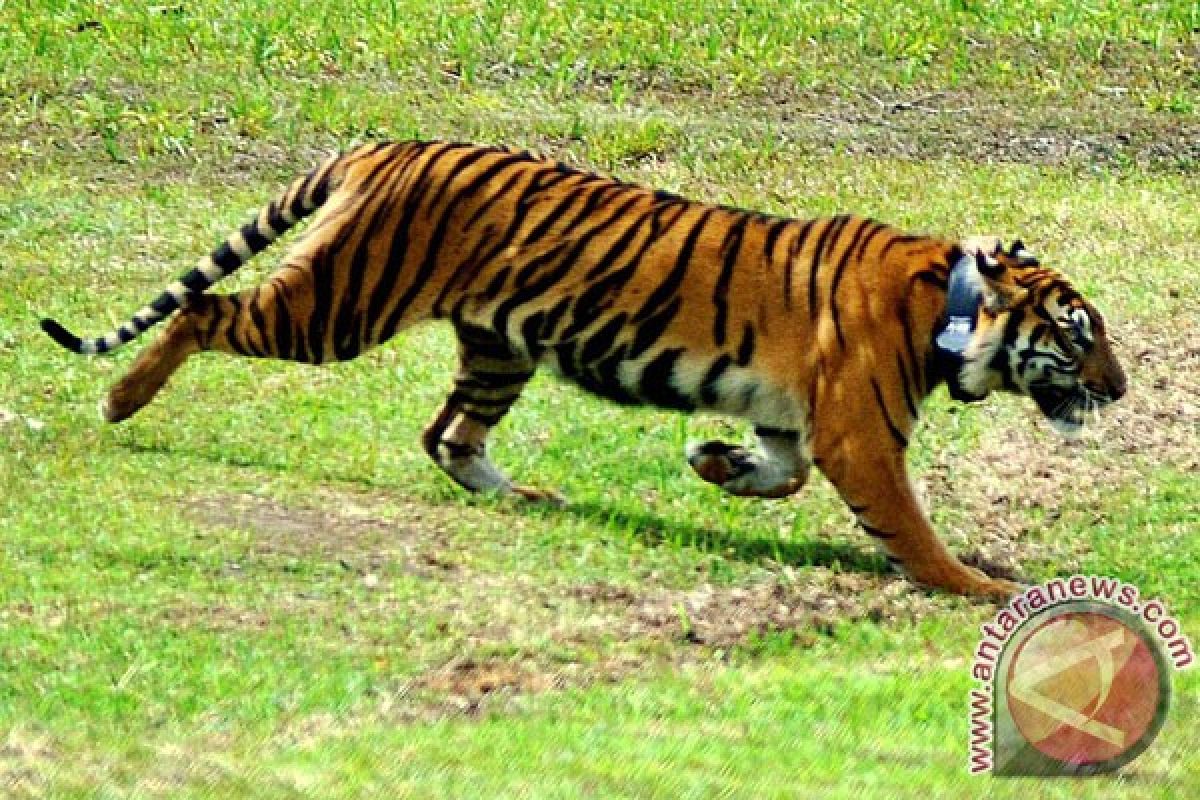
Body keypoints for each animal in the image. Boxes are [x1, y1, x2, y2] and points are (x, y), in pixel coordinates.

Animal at [37, 140, 1123, 597]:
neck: (954, 308)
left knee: (446, 435)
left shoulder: (799, 418)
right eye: (1080, 334)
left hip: (497, 344)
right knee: (204, 308)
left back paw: (526, 496)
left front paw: (713, 464)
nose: (1118, 389)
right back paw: (120, 400)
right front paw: (977, 586)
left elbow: (780, 472)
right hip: (340, 306)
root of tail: (384, 144)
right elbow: (909, 526)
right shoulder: (861, 432)